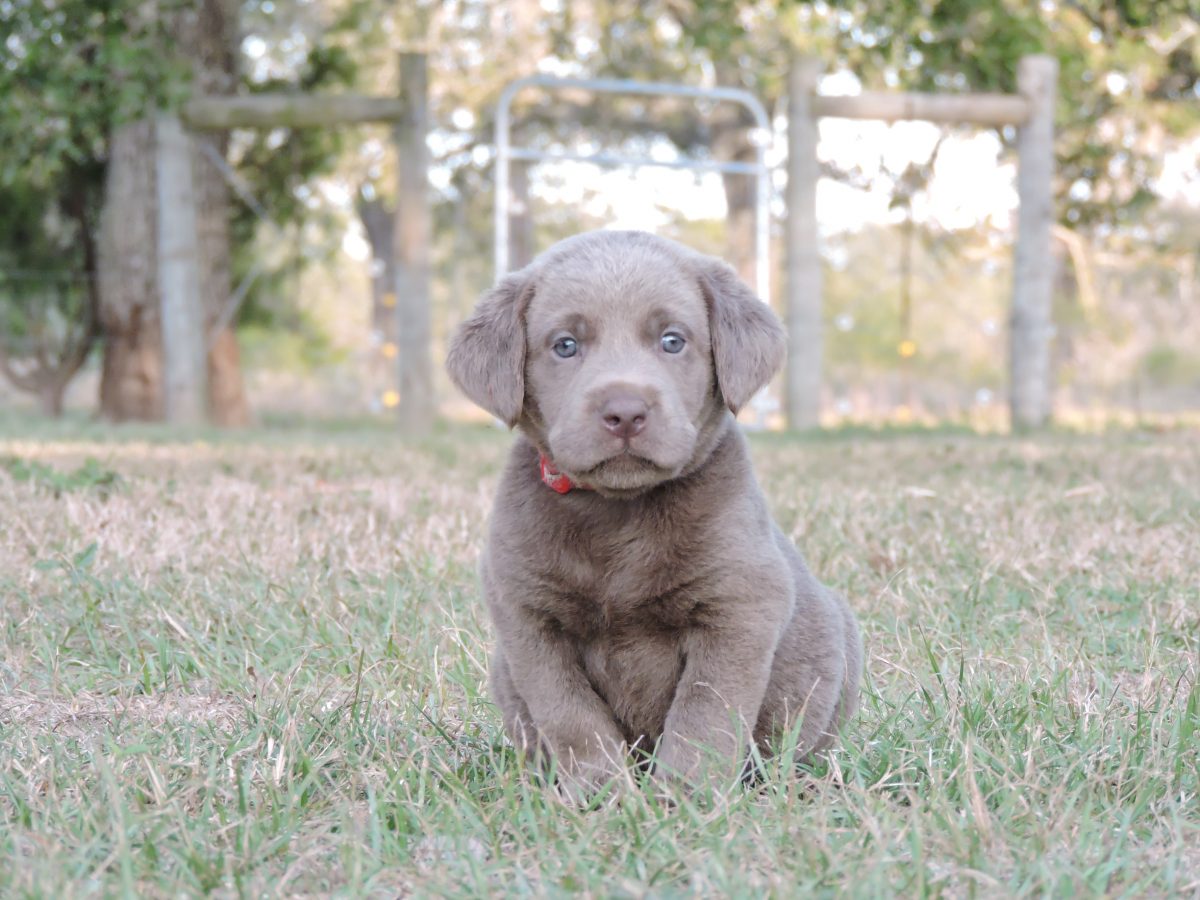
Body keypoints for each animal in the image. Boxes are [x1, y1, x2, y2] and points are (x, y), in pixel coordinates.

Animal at [446, 230, 859, 796]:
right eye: (565, 345)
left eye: (672, 340)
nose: (624, 411)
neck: (619, 510)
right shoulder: (526, 616)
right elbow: (570, 714)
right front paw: (601, 793)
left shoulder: (739, 606)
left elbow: (704, 714)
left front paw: (685, 796)